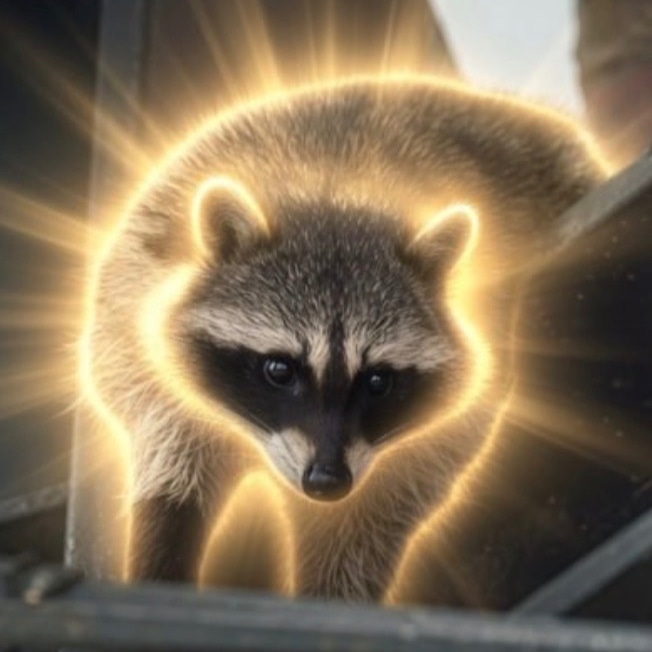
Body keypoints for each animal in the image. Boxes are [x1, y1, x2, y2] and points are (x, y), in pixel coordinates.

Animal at [85, 76, 608, 599]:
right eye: (280, 369)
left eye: (378, 380)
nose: (326, 482)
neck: (333, 192)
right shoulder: (130, 321)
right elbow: (172, 455)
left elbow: (368, 523)